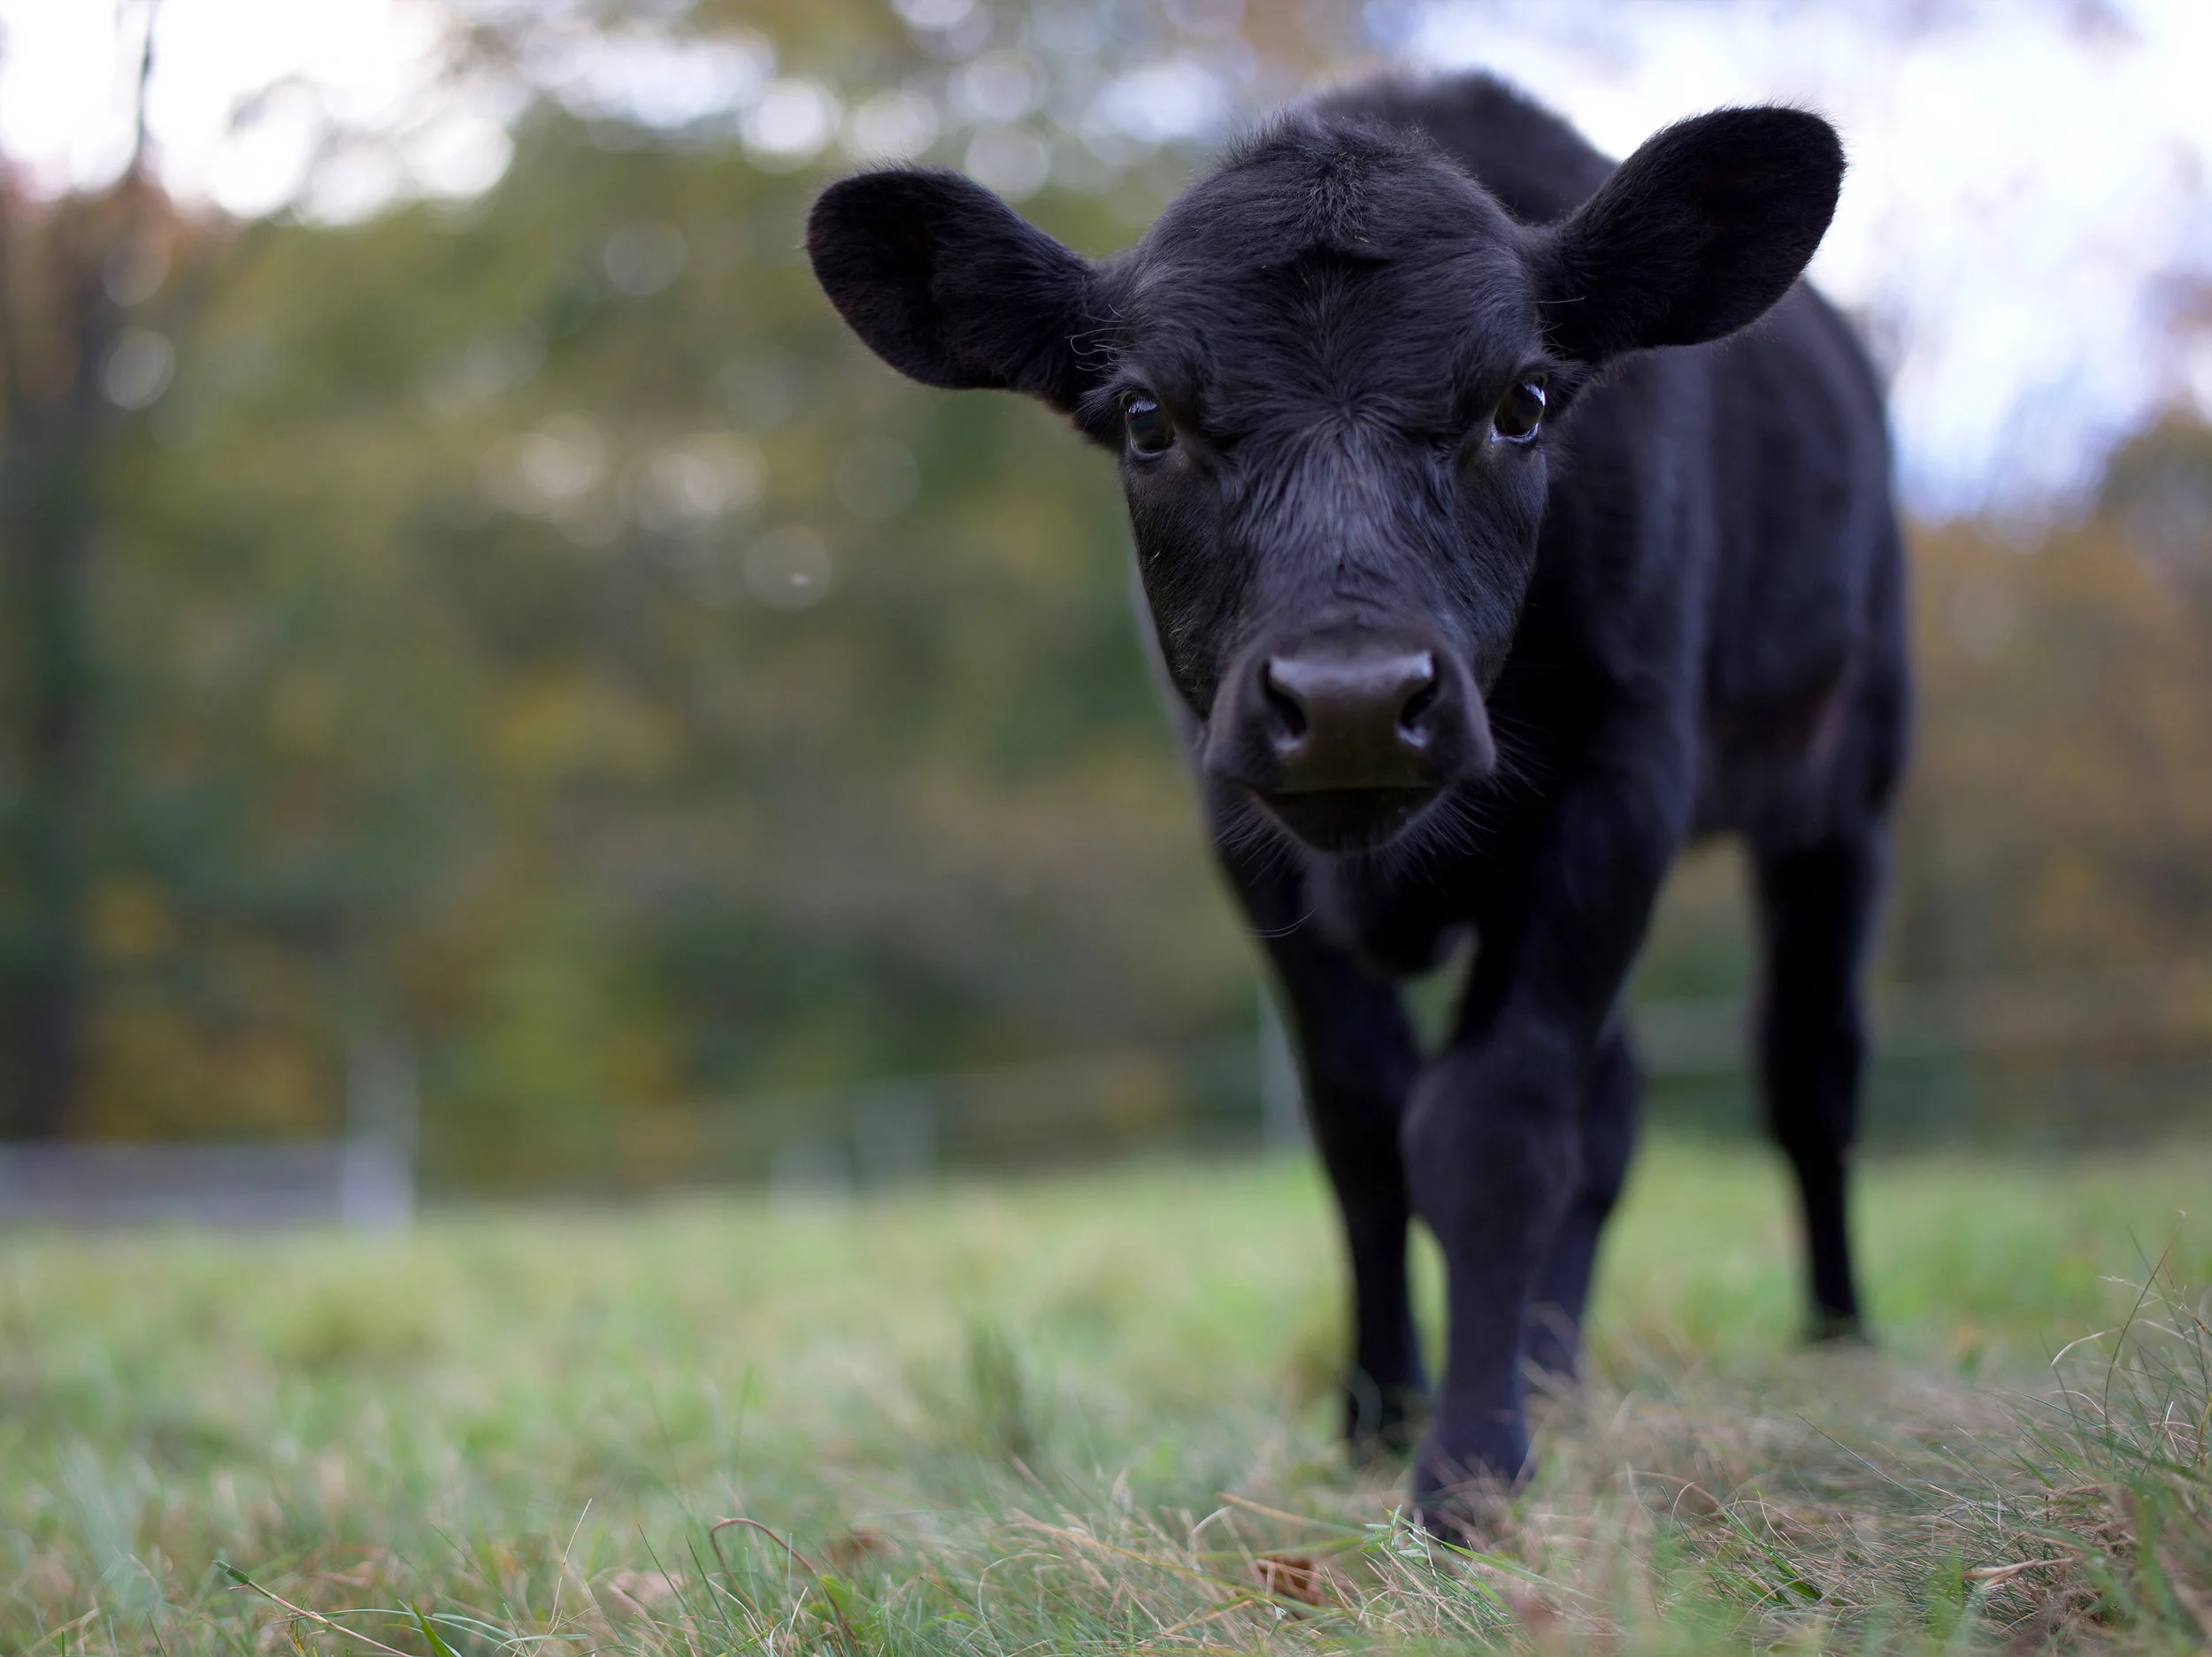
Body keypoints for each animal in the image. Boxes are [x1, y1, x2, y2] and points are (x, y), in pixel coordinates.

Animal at [805, 70, 1907, 1524]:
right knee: (1615, 1104)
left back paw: (1837, 1340)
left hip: (1847, 781)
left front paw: (1474, 1467)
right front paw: (1383, 1416)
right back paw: (1558, 1370)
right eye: (1147, 418)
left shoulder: (1625, 783)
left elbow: (1494, 1124)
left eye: (1523, 402)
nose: (1348, 697)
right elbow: (1364, 1129)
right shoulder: (1241, 831)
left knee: (1807, 1067)